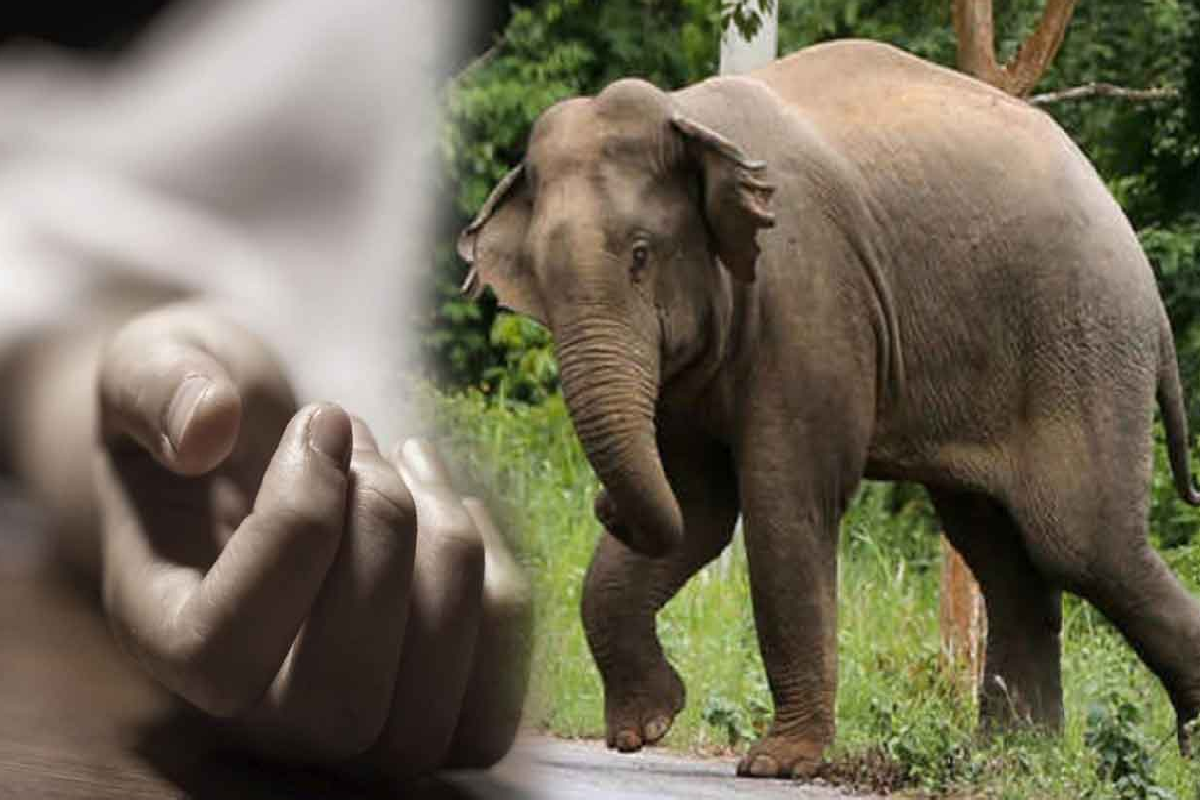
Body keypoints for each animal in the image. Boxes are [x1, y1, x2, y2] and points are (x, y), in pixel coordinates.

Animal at [457, 39, 1200, 778]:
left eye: (641, 255)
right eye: (538, 279)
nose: (601, 506)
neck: (691, 119)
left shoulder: (809, 295)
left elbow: (785, 499)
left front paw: (777, 764)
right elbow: (696, 507)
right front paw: (648, 724)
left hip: (1083, 345)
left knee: (1081, 543)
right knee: (1001, 552)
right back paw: (1006, 762)